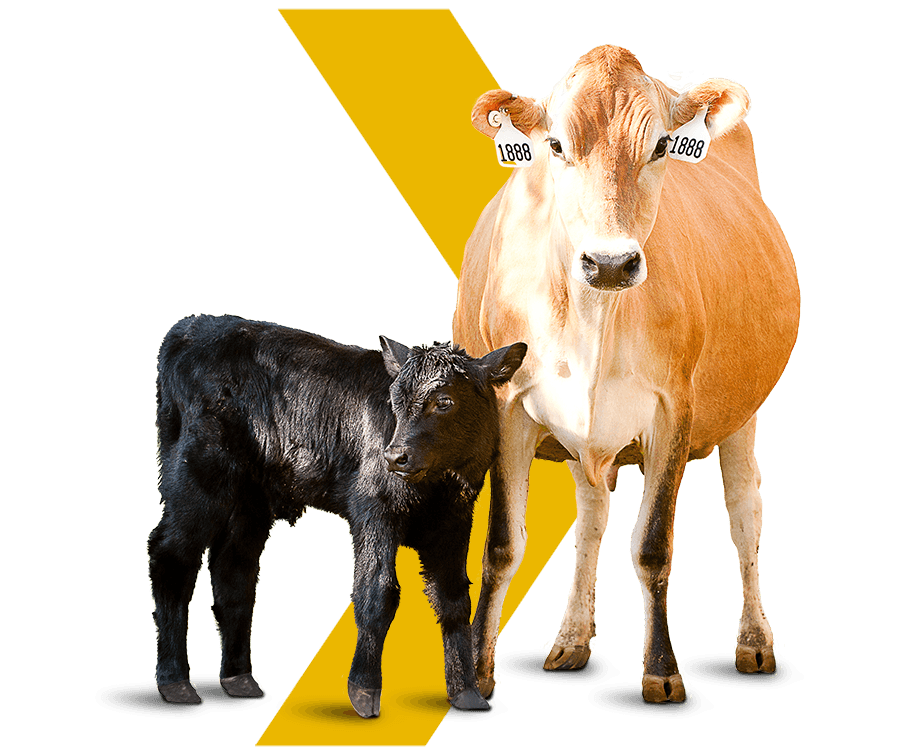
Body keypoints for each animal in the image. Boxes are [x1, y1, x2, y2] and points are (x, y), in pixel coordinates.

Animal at [147, 314, 526, 716]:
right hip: (196, 476)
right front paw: (364, 691)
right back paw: (176, 684)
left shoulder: (455, 519)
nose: (394, 457)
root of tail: (190, 327)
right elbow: (378, 592)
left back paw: (239, 681)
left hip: (250, 502)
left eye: (445, 402)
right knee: (171, 555)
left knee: (234, 571)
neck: (436, 485)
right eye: (395, 402)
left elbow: (454, 599)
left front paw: (466, 693)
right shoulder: (373, 510)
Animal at [452, 45, 800, 703]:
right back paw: (570, 642)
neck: (592, 317)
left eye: (663, 145)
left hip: (743, 410)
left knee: (746, 510)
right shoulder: (508, 405)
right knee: (592, 516)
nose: (611, 262)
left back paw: (754, 644)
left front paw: (662, 673)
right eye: (555, 145)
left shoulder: (674, 409)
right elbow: (503, 543)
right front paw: (477, 674)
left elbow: (653, 544)